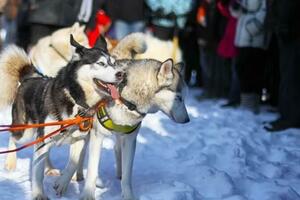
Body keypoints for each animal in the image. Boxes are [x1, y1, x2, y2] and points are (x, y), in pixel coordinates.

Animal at [0, 35, 124, 199]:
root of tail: (29, 78)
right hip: (26, 131)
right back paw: (10, 162)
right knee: (13, 136)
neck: (75, 100)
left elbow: (73, 163)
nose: (121, 74)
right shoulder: (43, 136)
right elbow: (37, 173)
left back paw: (50, 168)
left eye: (114, 63)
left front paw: (62, 184)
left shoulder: (80, 139)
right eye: (101, 63)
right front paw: (39, 194)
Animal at [54, 50, 190, 199]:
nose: (188, 120)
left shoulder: (130, 139)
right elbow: (92, 171)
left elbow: (127, 174)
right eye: (178, 98)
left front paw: (128, 194)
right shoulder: (97, 136)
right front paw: (88, 195)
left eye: (184, 98)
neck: (126, 99)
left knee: (116, 149)